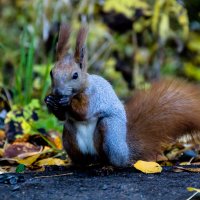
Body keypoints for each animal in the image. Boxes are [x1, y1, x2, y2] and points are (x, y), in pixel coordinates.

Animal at [44, 23, 200, 167]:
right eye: (51, 72)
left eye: (75, 75)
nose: (57, 92)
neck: (78, 91)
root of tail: (126, 152)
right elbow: (62, 117)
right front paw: (50, 100)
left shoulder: (94, 97)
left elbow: (84, 111)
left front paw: (67, 102)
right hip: (70, 135)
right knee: (83, 157)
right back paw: (77, 165)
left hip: (110, 133)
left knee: (112, 160)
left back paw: (107, 166)